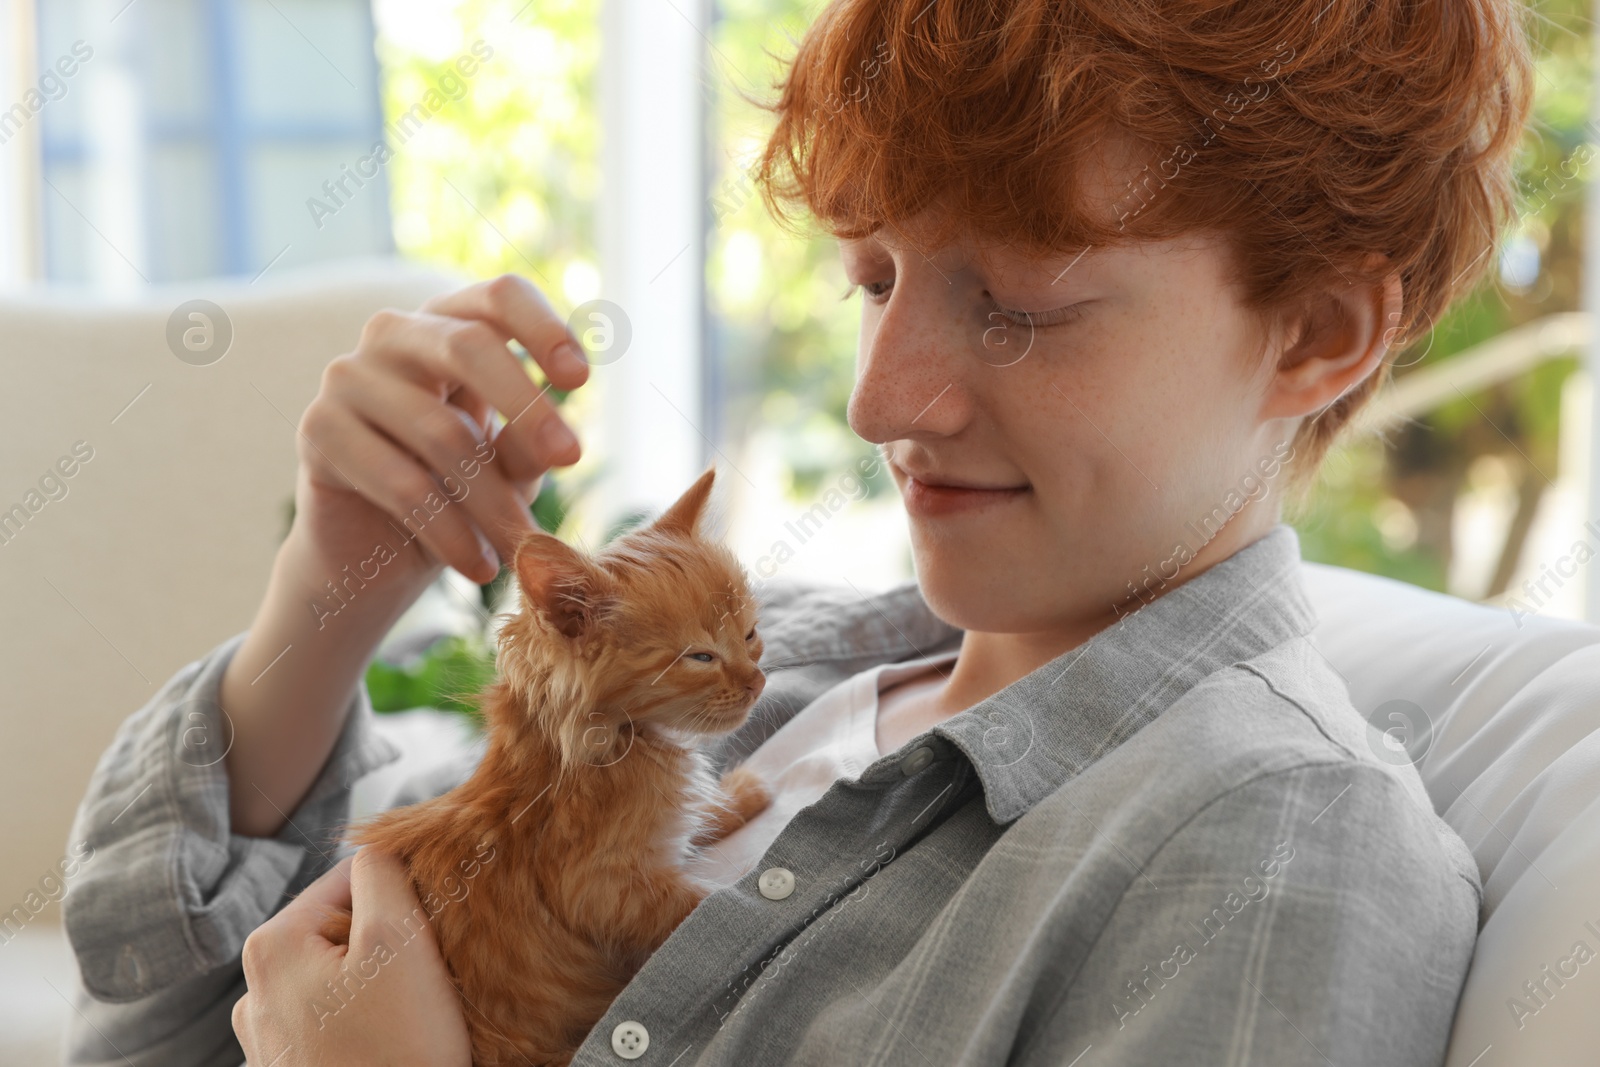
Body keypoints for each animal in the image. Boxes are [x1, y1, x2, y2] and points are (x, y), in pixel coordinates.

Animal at [321, 470, 771, 1062]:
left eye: (749, 635)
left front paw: (740, 797)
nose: (757, 681)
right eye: (700, 657)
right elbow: (696, 904)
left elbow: (697, 819)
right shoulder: (599, 887)